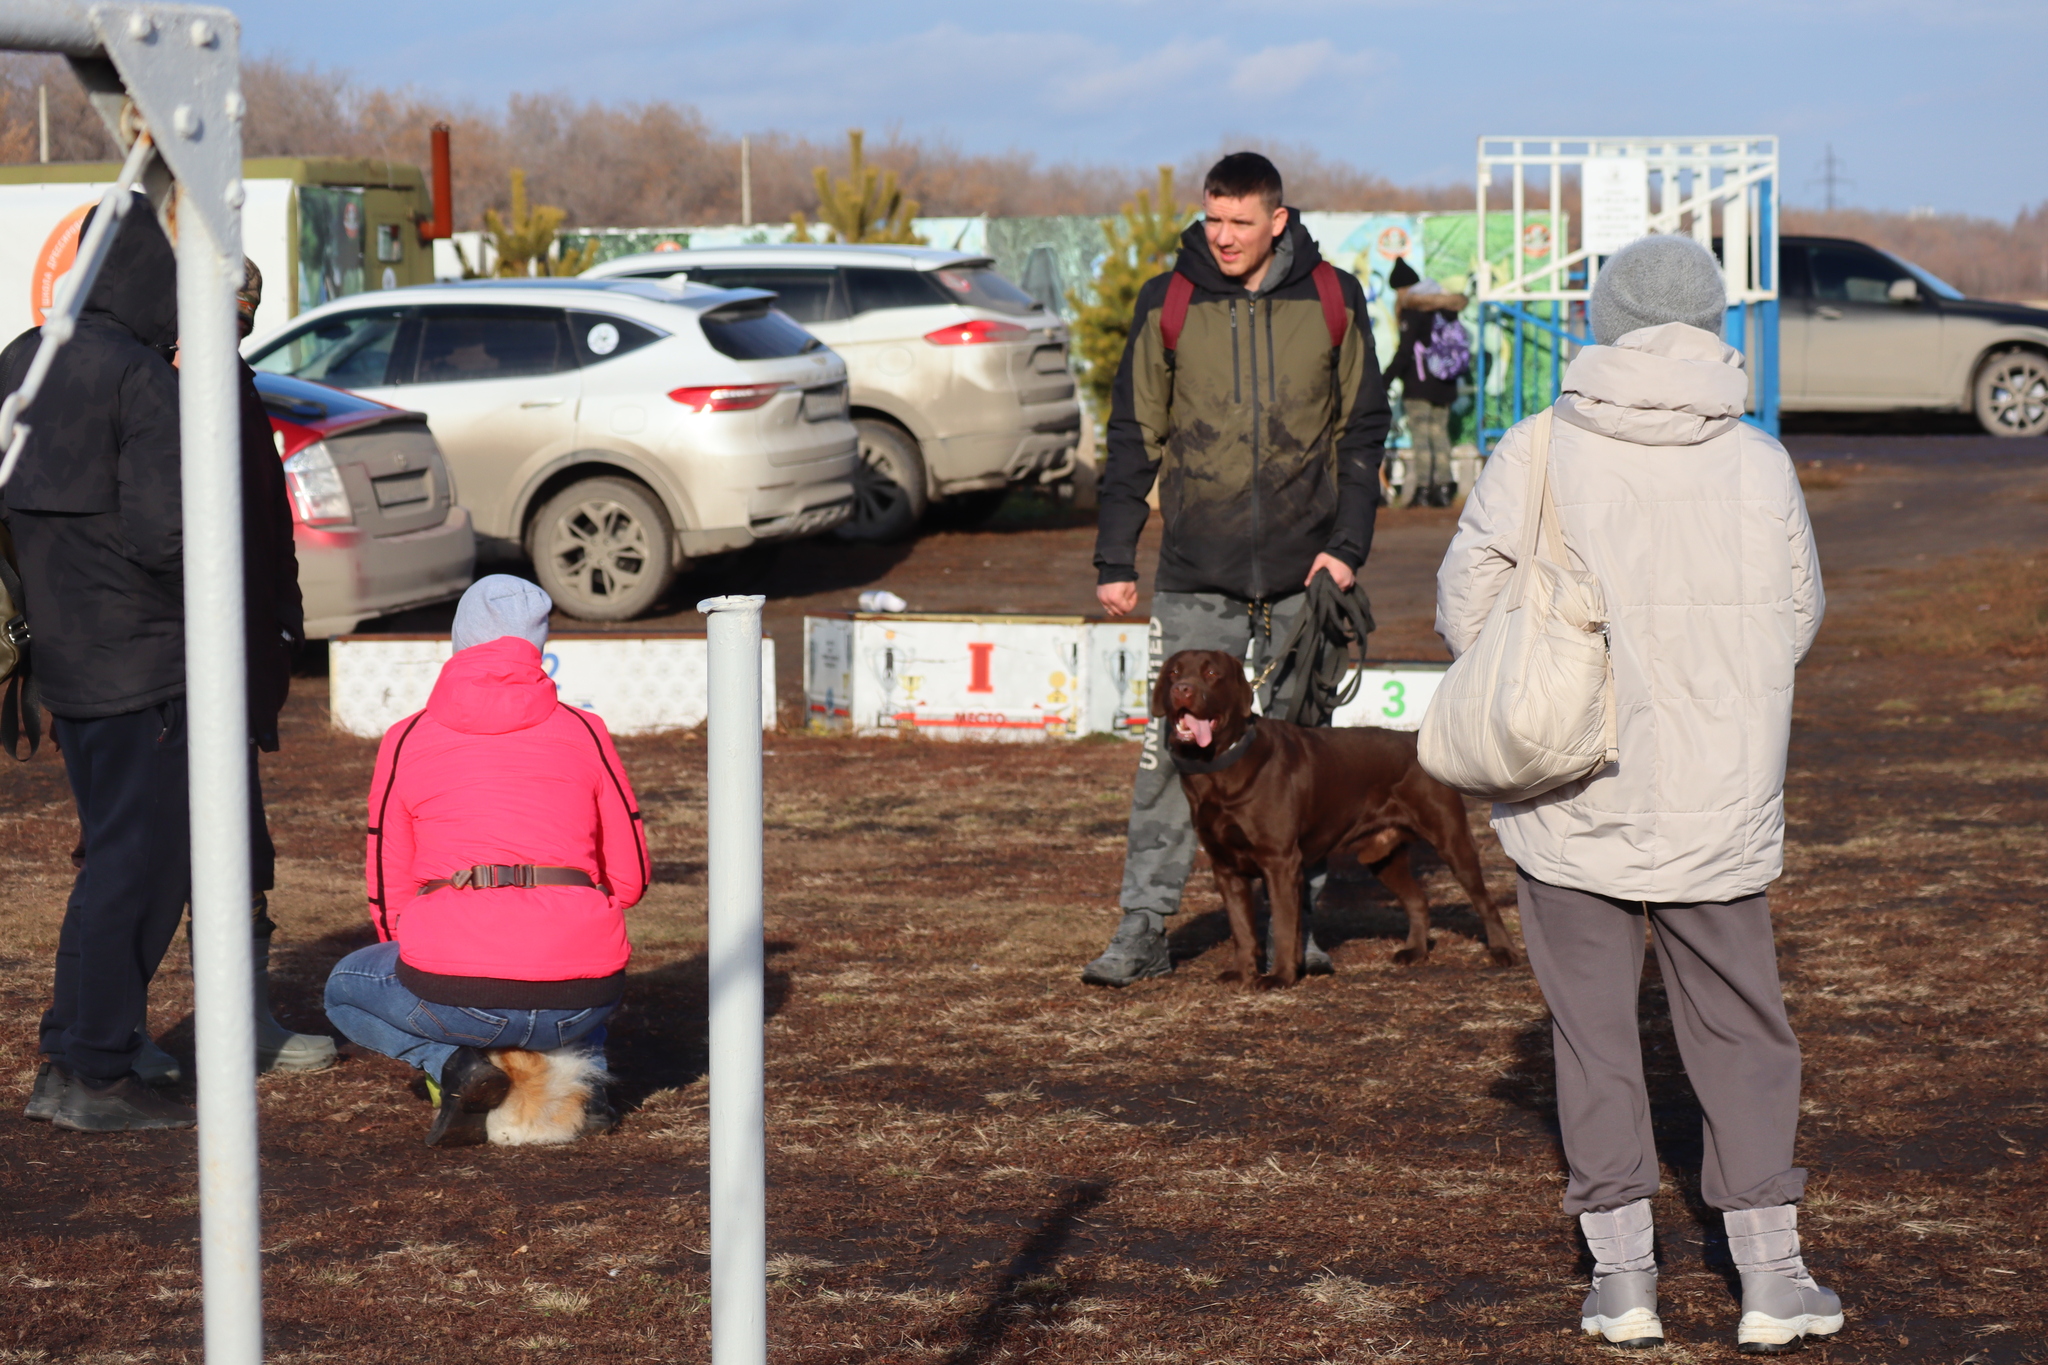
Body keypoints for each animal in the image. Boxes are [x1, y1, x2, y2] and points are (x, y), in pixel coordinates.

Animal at [1155, 646, 1523, 986]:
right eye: (1173, 672)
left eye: (1211, 673)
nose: (1182, 690)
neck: (1216, 770)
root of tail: (1415, 738)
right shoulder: (1225, 868)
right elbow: (1241, 928)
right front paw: (1241, 973)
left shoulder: (1280, 861)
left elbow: (1285, 926)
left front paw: (1280, 977)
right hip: (1381, 856)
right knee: (1418, 900)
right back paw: (1415, 951)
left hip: (1451, 838)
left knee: (1483, 899)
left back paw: (1503, 951)